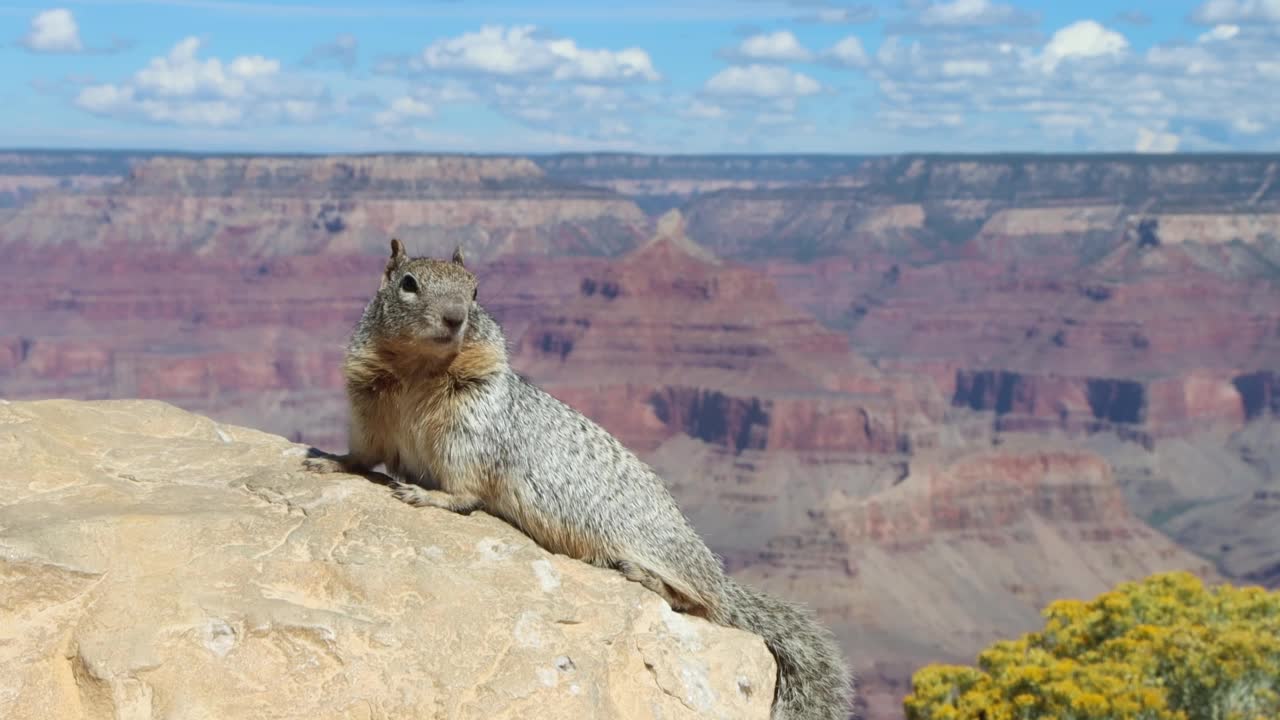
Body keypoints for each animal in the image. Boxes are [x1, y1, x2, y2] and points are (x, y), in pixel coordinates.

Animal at [304, 239, 855, 717]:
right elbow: (365, 452)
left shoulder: (470, 426)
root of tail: (719, 576)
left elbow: (465, 486)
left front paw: (427, 495)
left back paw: (645, 576)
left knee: (702, 604)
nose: (456, 317)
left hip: (657, 546)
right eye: (409, 283)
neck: (420, 370)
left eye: (476, 290)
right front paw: (329, 460)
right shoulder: (370, 405)